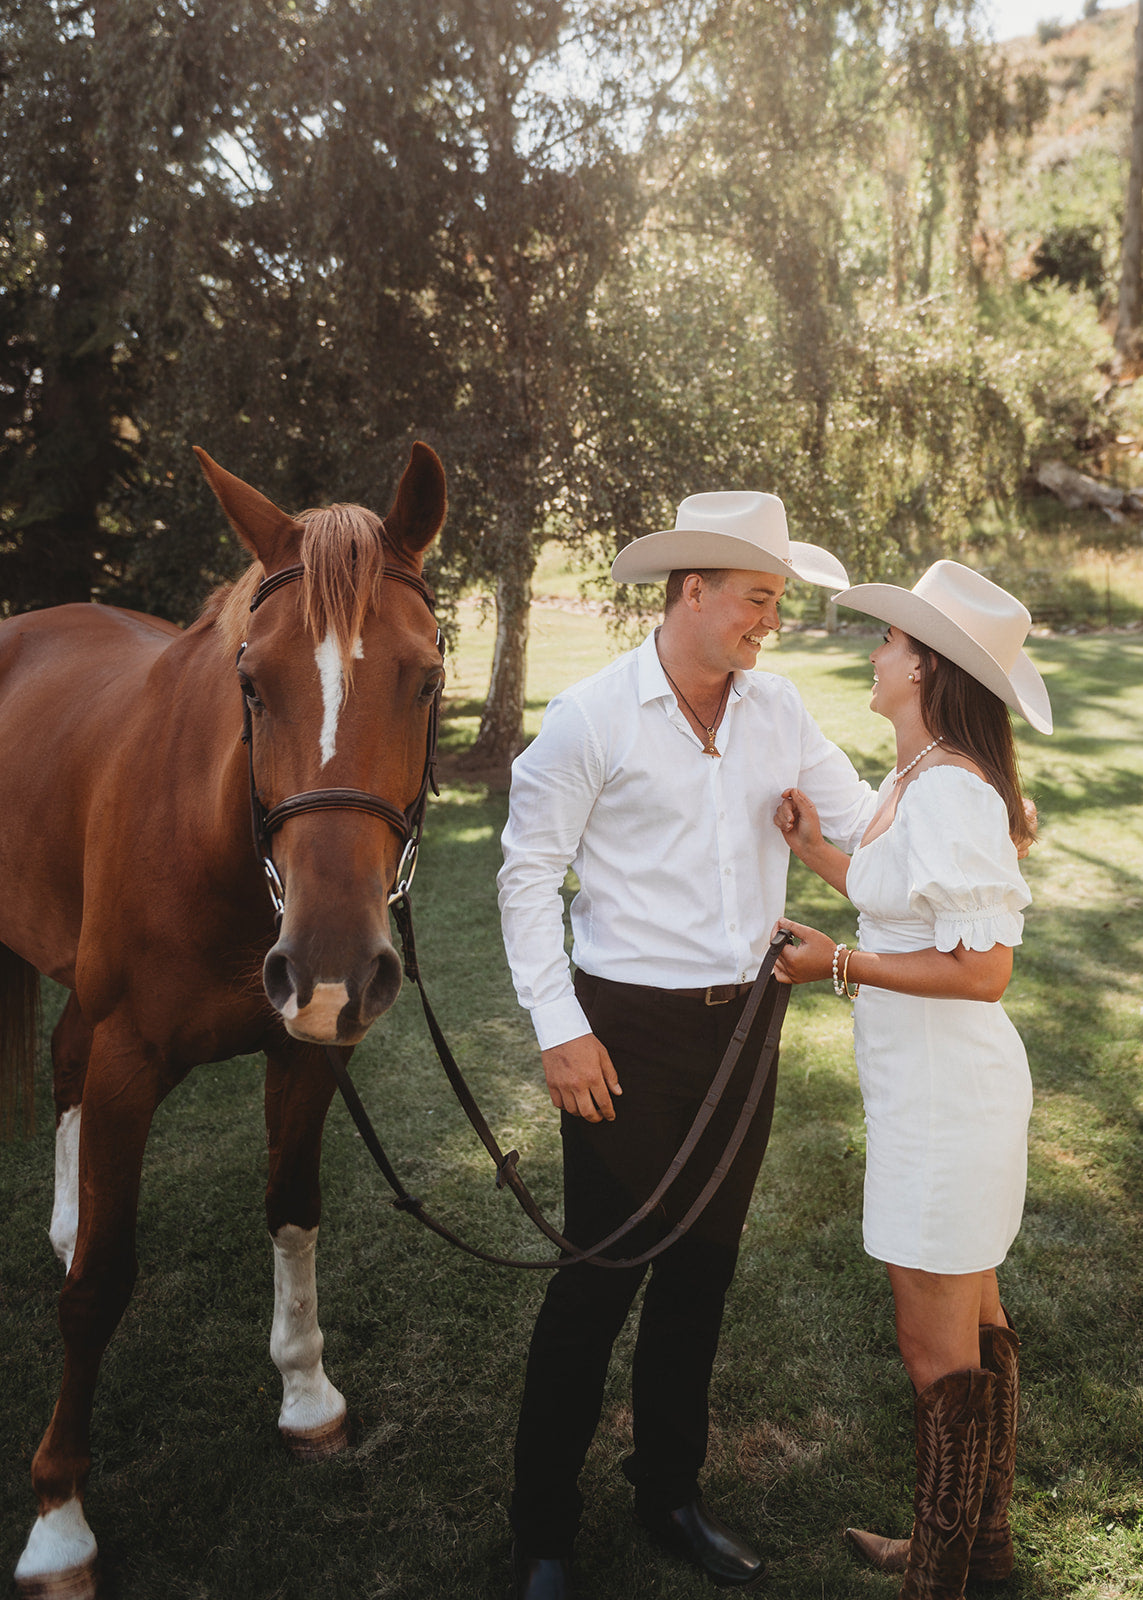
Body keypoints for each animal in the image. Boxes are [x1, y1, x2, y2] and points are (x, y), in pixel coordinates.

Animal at [0, 444, 448, 1600]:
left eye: (427, 678)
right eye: (251, 682)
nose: (334, 961)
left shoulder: (307, 1048)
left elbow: (293, 1209)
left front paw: (306, 1394)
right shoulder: (128, 1063)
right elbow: (100, 1286)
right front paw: (58, 1519)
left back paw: (63, 1216)